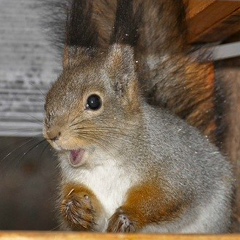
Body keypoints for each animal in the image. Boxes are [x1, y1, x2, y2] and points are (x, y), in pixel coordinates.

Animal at [42, 0, 232, 232]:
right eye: (48, 99)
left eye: (94, 102)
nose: (52, 134)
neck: (104, 161)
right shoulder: (75, 180)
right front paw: (76, 208)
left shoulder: (176, 169)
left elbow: (164, 198)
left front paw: (127, 216)